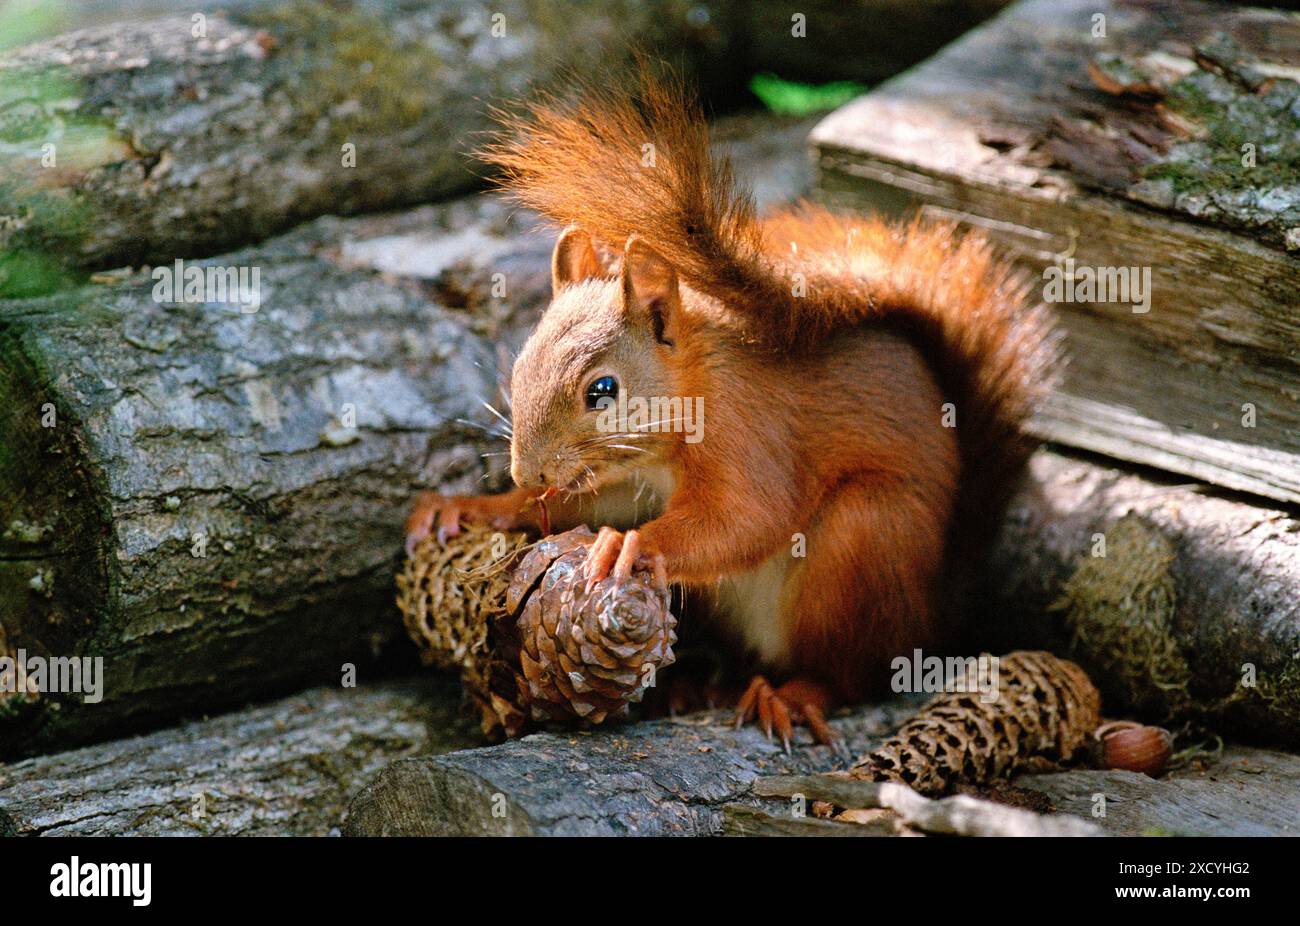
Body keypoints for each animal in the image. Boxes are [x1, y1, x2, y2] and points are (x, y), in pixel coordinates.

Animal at [405, 72, 1055, 754]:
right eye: (521, 361)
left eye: (602, 390)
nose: (527, 473)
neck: (691, 394)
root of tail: (936, 614)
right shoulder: (628, 477)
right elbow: (592, 503)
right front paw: (474, 506)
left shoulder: (747, 430)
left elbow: (748, 518)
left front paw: (630, 544)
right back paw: (701, 686)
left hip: (866, 540)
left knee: (853, 674)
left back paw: (791, 695)